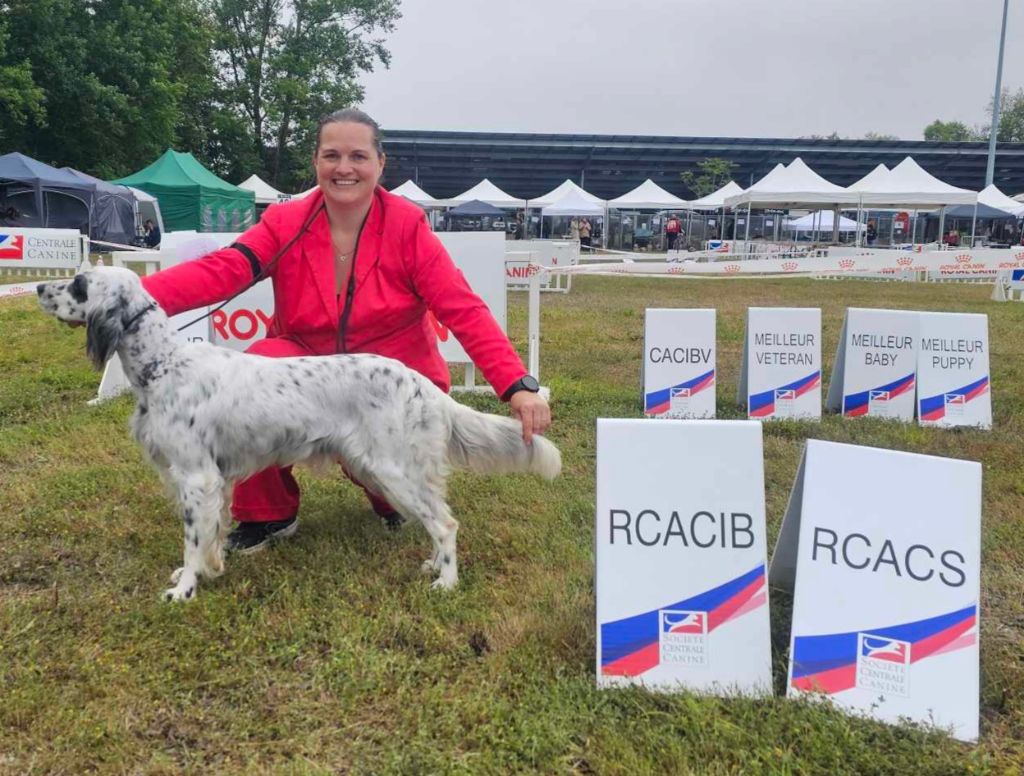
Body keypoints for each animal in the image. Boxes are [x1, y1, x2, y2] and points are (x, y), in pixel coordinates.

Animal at [37, 270, 561, 606]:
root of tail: (422, 384)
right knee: (437, 518)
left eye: (79, 283)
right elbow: (211, 535)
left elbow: (191, 540)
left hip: (392, 470)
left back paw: (446, 583)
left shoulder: (195, 477)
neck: (164, 363)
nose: (39, 287)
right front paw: (207, 568)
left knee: (446, 523)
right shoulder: (213, 481)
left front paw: (184, 589)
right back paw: (433, 566)